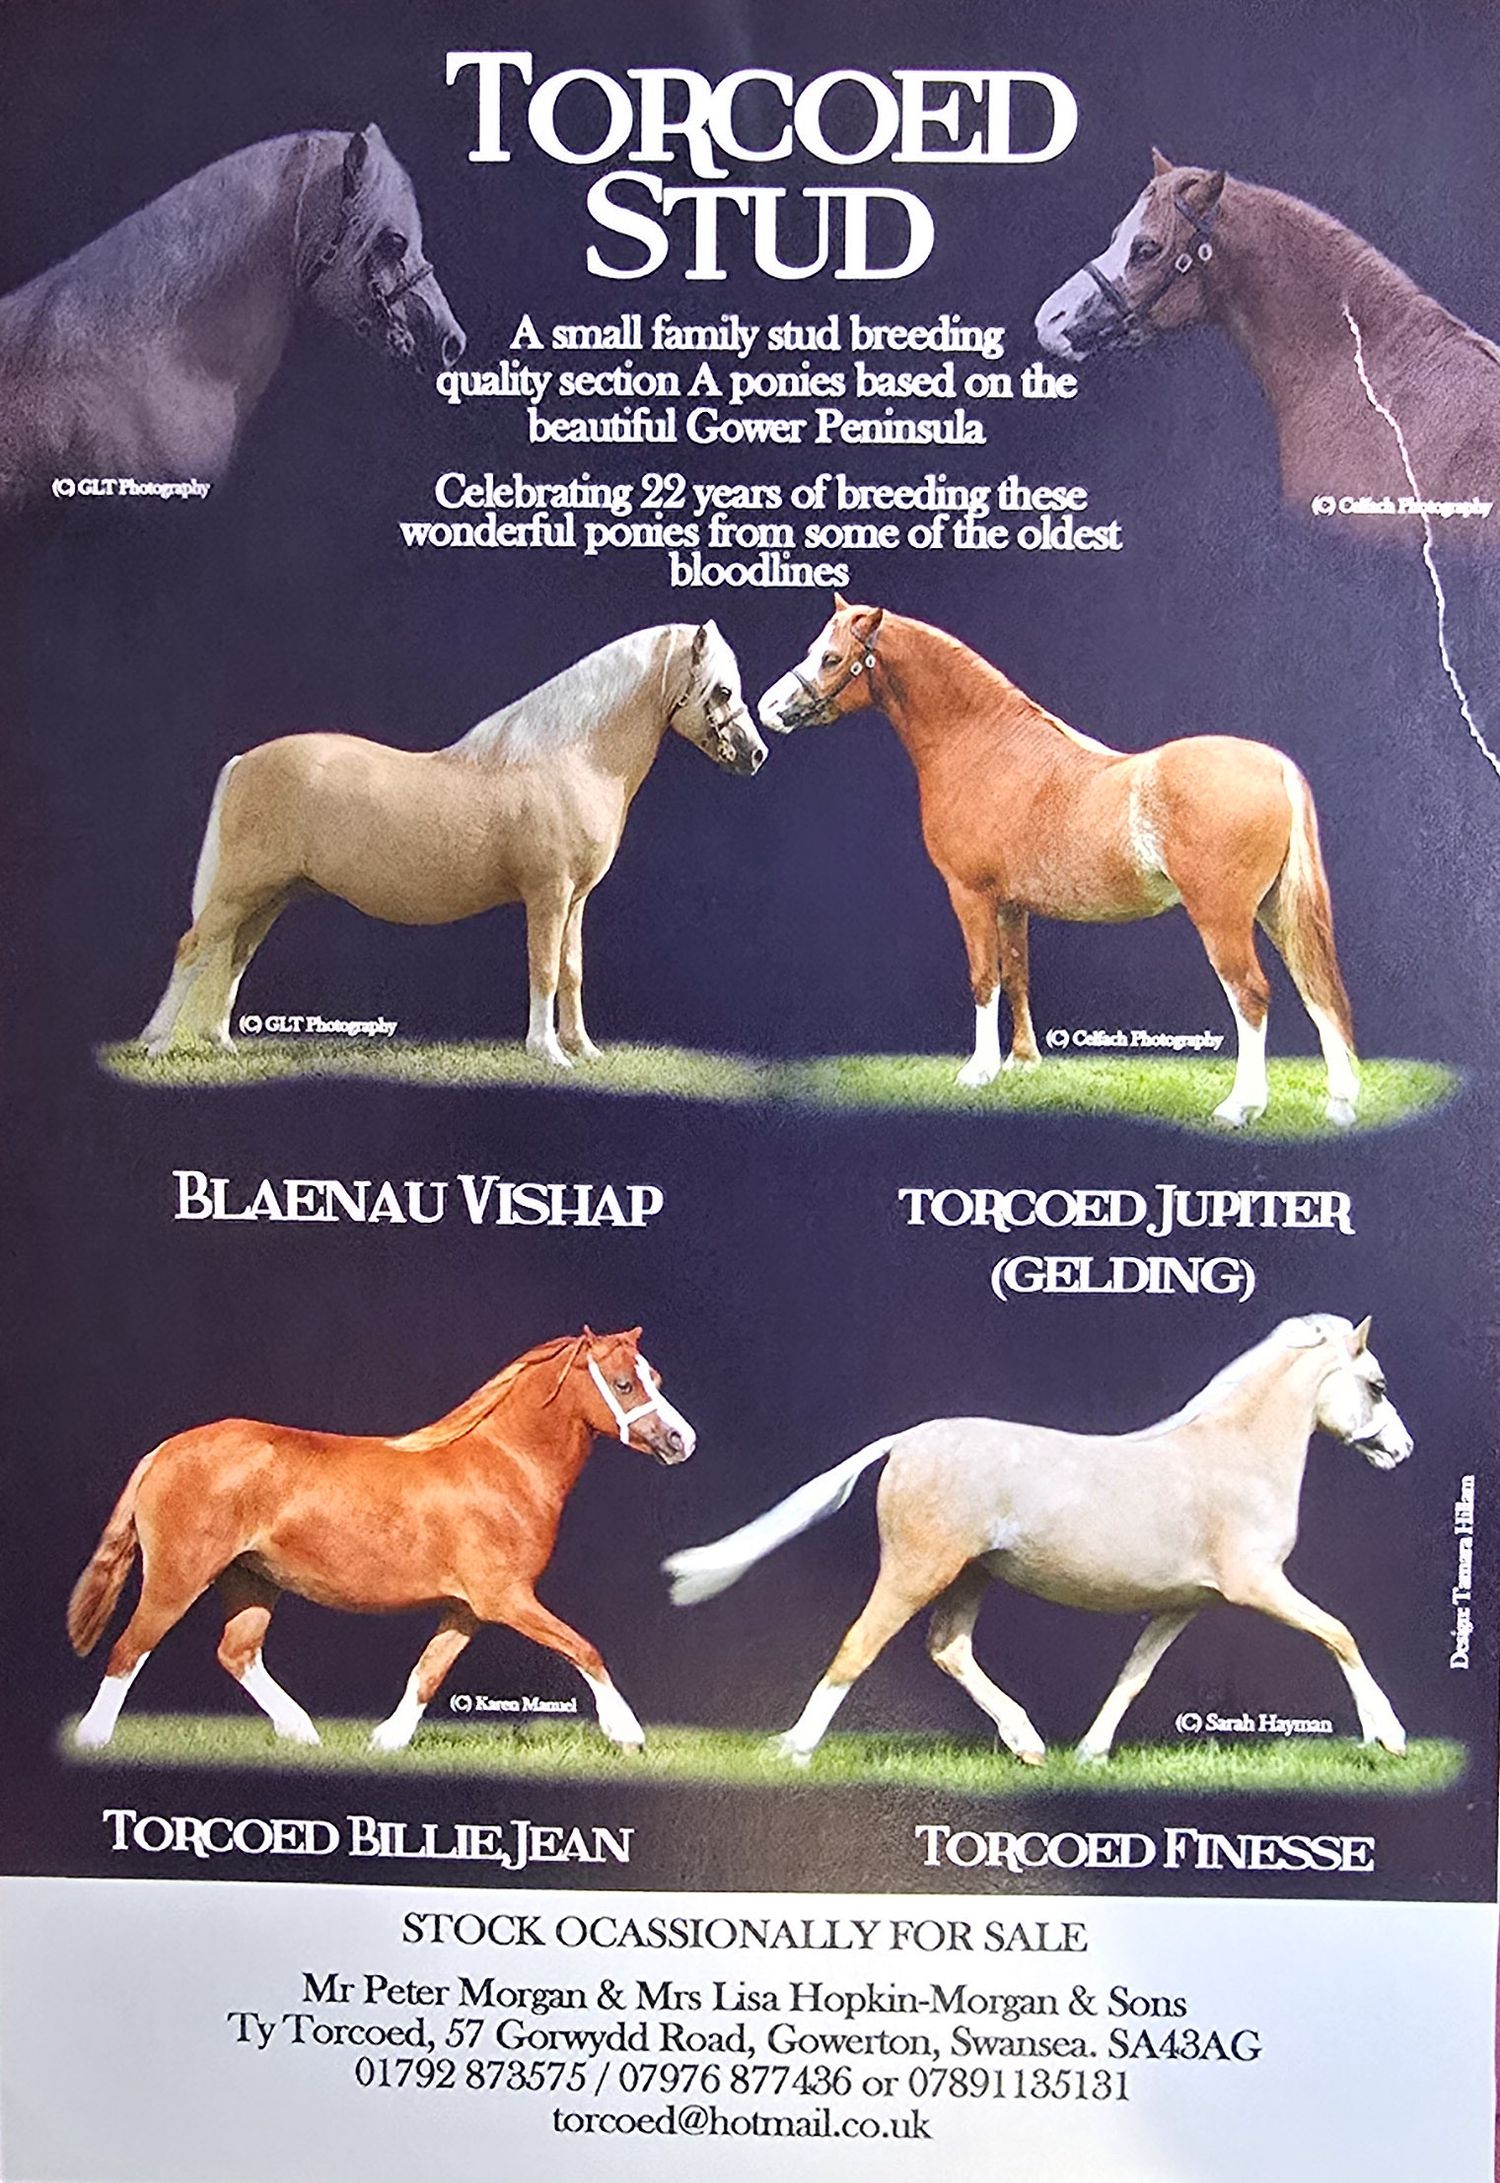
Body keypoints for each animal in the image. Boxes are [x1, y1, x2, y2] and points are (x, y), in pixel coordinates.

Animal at [69, 1327, 694, 1755]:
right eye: (623, 1383)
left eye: (657, 1380)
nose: (680, 1439)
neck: (505, 1466)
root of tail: (166, 1450)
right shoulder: (507, 1599)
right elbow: (584, 1649)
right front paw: (627, 1734)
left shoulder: (468, 1608)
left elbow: (428, 1671)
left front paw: (386, 1741)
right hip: (178, 1577)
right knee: (130, 1648)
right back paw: (93, 1738)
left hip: (251, 1581)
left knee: (237, 1653)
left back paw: (303, 1733)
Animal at [139, 621, 766, 1065]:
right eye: (722, 690)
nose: (756, 753)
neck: (570, 759)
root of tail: (246, 759)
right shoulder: (548, 896)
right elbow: (543, 968)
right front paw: (548, 1053)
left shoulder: (576, 901)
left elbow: (571, 971)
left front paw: (584, 1050)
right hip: (241, 890)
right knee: (193, 949)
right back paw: (155, 1042)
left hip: (269, 899)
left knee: (234, 958)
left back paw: (222, 1044)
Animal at [665, 1314, 1411, 1765]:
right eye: (1377, 1385)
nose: (1402, 1449)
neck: (1236, 1456)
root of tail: (908, 1438)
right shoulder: (1258, 1584)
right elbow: (1340, 1634)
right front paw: (1389, 1736)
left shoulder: (1183, 1603)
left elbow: (1134, 1675)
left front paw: (1091, 1752)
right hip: (918, 1569)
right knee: (859, 1645)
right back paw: (796, 1749)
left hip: (971, 1575)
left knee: (950, 1649)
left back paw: (1027, 1743)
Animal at [757, 600, 1358, 1128]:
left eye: (832, 658)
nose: (766, 708)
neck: (985, 749)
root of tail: (1274, 764)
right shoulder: (1012, 904)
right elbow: (1016, 974)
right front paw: (1023, 1062)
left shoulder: (970, 894)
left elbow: (983, 978)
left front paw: (978, 1071)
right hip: (1275, 909)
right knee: (1314, 988)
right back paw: (1341, 1104)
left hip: (1222, 916)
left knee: (1251, 995)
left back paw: (1241, 1106)